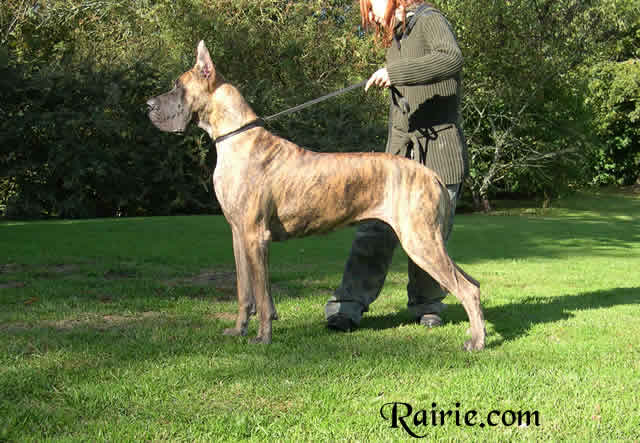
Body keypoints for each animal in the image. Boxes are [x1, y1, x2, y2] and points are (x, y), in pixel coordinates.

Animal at [146, 42, 484, 354]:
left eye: (177, 86)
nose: (147, 105)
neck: (236, 137)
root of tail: (432, 174)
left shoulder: (256, 236)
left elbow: (262, 294)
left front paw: (263, 337)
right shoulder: (238, 235)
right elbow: (245, 291)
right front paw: (238, 330)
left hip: (420, 240)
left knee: (467, 289)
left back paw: (476, 342)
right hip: (427, 239)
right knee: (474, 283)